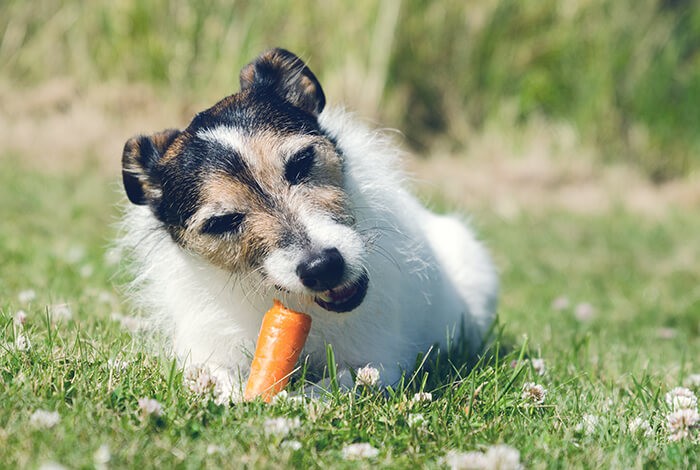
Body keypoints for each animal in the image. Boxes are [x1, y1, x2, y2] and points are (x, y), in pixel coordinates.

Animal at [119, 48, 498, 400]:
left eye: (301, 161)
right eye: (222, 222)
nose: (323, 267)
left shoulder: (380, 361)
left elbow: (340, 383)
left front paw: (297, 399)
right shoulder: (205, 350)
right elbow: (210, 374)